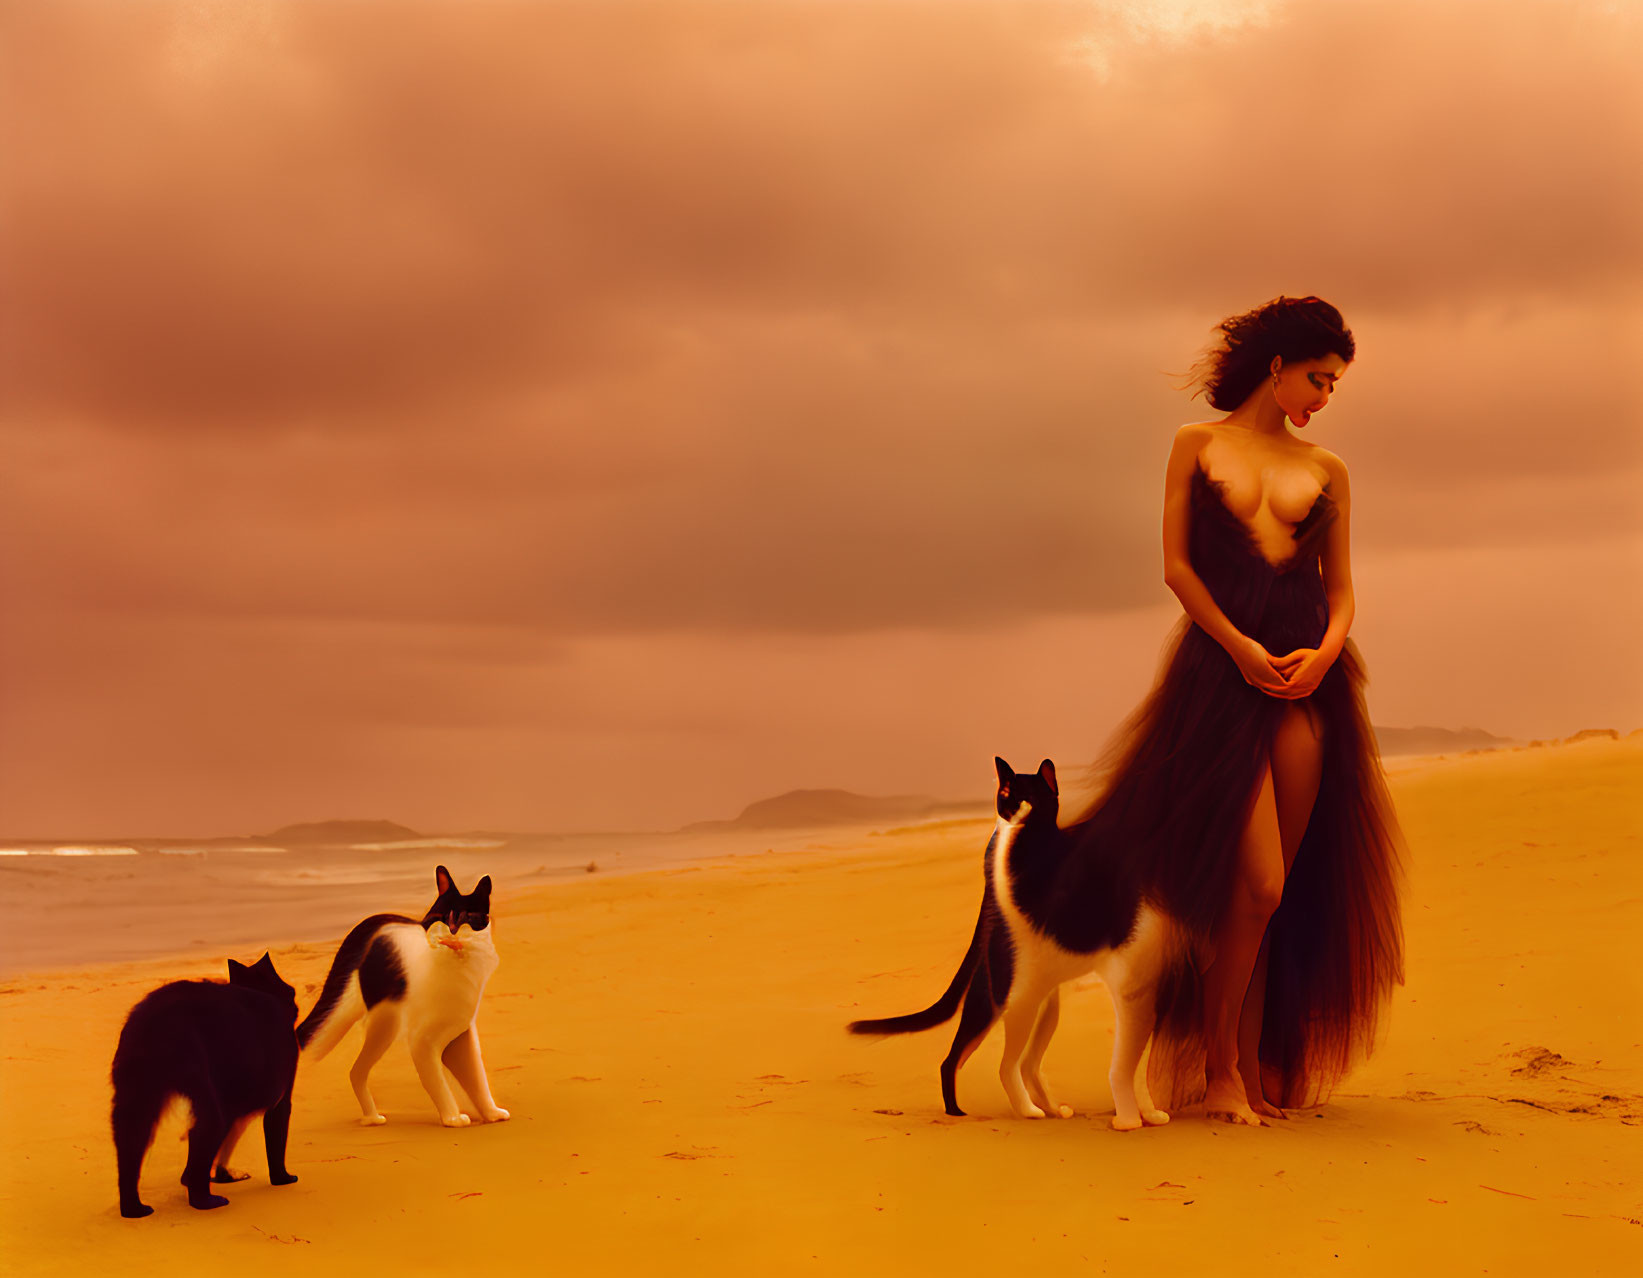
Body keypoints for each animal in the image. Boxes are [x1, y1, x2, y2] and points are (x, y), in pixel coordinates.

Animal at [110, 946, 300, 1215]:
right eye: (291, 991)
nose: (294, 1002)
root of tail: (155, 1023)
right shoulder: (280, 1098)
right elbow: (274, 1142)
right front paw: (282, 1179)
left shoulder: (232, 1105)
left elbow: (224, 1147)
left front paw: (222, 1176)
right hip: (202, 1094)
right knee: (202, 1141)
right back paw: (207, 1201)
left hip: (136, 1100)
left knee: (131, 1150)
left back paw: (134, 1210)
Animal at [299, 867, 506, 1123]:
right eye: (440, 918)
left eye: (466, 918)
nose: (450, 931)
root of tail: (368, 924)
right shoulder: (422, 1042)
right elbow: (438, 1085)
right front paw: (453, 1118)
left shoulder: (460, 1037)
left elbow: (477, 1080)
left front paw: (491, 1114)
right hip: (385, 1023)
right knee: (355, 1069)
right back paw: (372, 1118)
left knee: (356, 1071)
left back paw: (372, 1117)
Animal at [847, 755, 1182, 1123]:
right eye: (1006, 792)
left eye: (1028, 794)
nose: (1013, 810)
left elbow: (1134, 1068)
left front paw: (1148, 1113)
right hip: (1004, 1003)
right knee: (986, 1064)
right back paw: (998, 1110)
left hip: (1042, 1006)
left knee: (1025, 1064)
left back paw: (1051, 1109)